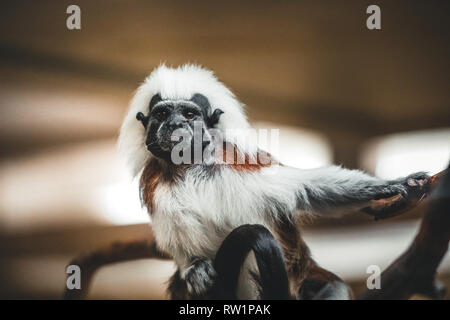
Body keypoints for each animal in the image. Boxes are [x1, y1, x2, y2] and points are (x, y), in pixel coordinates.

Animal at [118, 64, 430, 300]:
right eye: (162, 114)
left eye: (189, 114)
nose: (174, 125)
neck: (190, 166)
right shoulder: (155, 181)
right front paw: (194, 267)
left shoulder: (239, 161)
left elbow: (307, 189)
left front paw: (394, 184)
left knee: (331, 288)